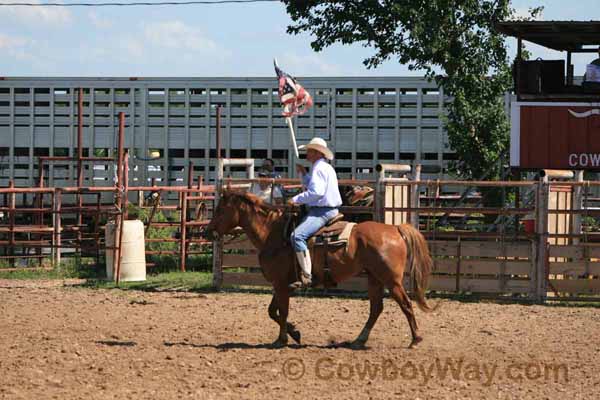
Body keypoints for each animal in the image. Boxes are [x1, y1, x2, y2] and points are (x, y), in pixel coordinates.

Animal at [204, 191, 434, 346]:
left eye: (220, 209)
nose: (207, 231)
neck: (272, 234)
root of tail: (394, 229)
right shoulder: (282, 284)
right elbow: (273, 311)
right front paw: (294, 333)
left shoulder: (281, 283)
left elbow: (282, 310)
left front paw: (282, 339)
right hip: (374, 278)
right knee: (376, 308)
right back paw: (359, 340)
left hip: (390, 280)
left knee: (405, 304)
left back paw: (415, 339)